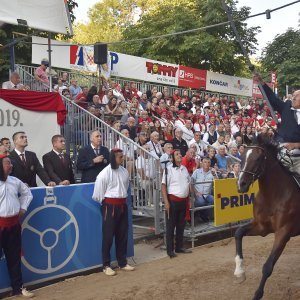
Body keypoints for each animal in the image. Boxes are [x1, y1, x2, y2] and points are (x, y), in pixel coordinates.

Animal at [234, 135, 300, 300]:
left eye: (258, 158)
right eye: (242, 157)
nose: (241, 184)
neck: (273, 196)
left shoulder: (283, 232)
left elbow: (267, 266)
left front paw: (257, 294)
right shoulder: (261, 227)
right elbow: (238, 232)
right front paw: (239, 273)